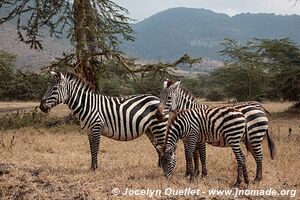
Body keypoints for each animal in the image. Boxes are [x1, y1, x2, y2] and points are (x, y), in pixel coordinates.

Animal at [39, 72, 169, 170]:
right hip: (150, 129)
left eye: (54, 88)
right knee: (158, 147)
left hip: (159, 126)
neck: (87, 105)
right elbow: (91, 149)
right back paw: (160, 167)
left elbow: (95, 148)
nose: (41, 107)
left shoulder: (96, 127)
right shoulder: (89, 130)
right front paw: (92, 167)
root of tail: (157, 98)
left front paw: (95, 168)